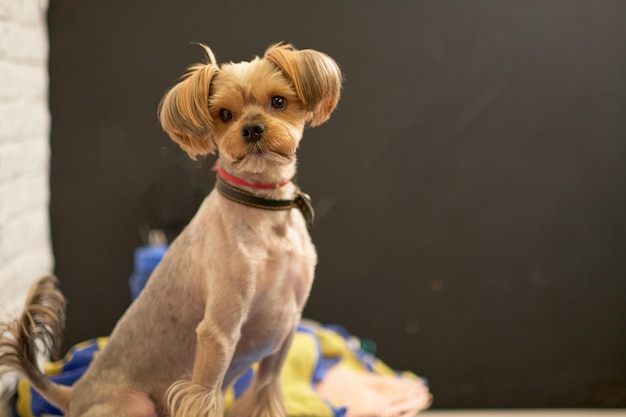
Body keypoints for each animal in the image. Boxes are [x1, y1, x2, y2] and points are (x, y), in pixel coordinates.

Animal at [0, 43, 342, 416]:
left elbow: (265, 394)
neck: (264, 209)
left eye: (278, 101)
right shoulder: (218, 334)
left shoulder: (284, 335)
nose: (252, 128)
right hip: (136, 406)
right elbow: (205, 396)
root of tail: (73, 393)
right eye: (224, 114)